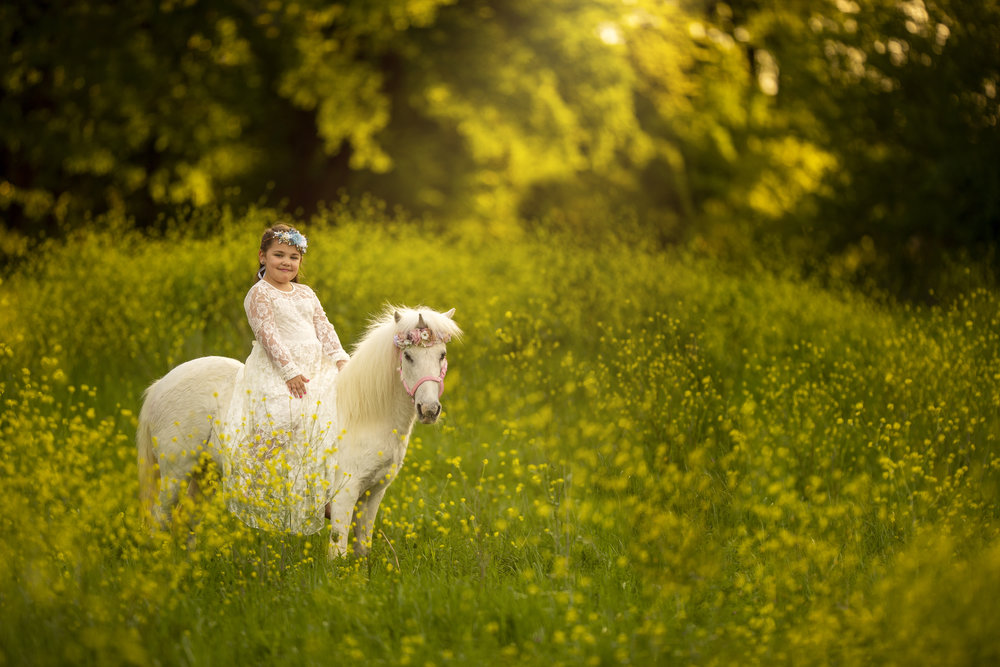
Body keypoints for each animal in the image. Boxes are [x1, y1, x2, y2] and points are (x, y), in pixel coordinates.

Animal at [137, 308, 460, 560]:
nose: (429, 409)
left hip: (204, 476)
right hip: (175, 473)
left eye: (442, 355)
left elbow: (362, 550)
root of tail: (160, 385)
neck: (363, 415)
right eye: (408, 356)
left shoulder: (373, 495)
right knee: (160, 519)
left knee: (187, 522)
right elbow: (338, 552)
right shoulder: (345, 495)